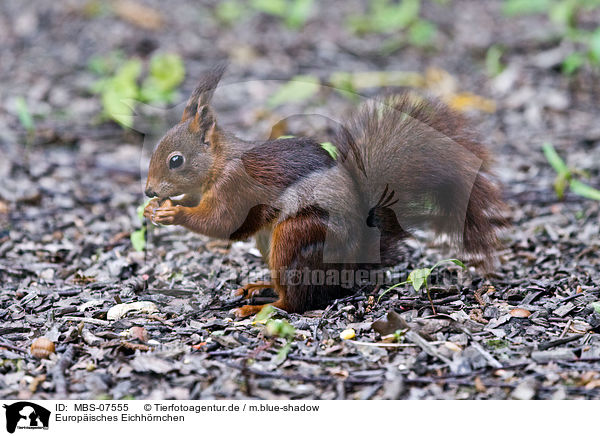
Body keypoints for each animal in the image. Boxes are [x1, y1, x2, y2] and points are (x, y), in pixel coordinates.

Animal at [144, 65, 506, 316]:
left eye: (176, 160)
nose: (148, 191)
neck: (219, 163)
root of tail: (352, 263)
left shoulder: (237, 186)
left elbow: (222, 222)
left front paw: (174, 212)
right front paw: (158, 208)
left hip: (297, 237)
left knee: (295, 302)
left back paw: (263, 307)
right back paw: (261, 287)